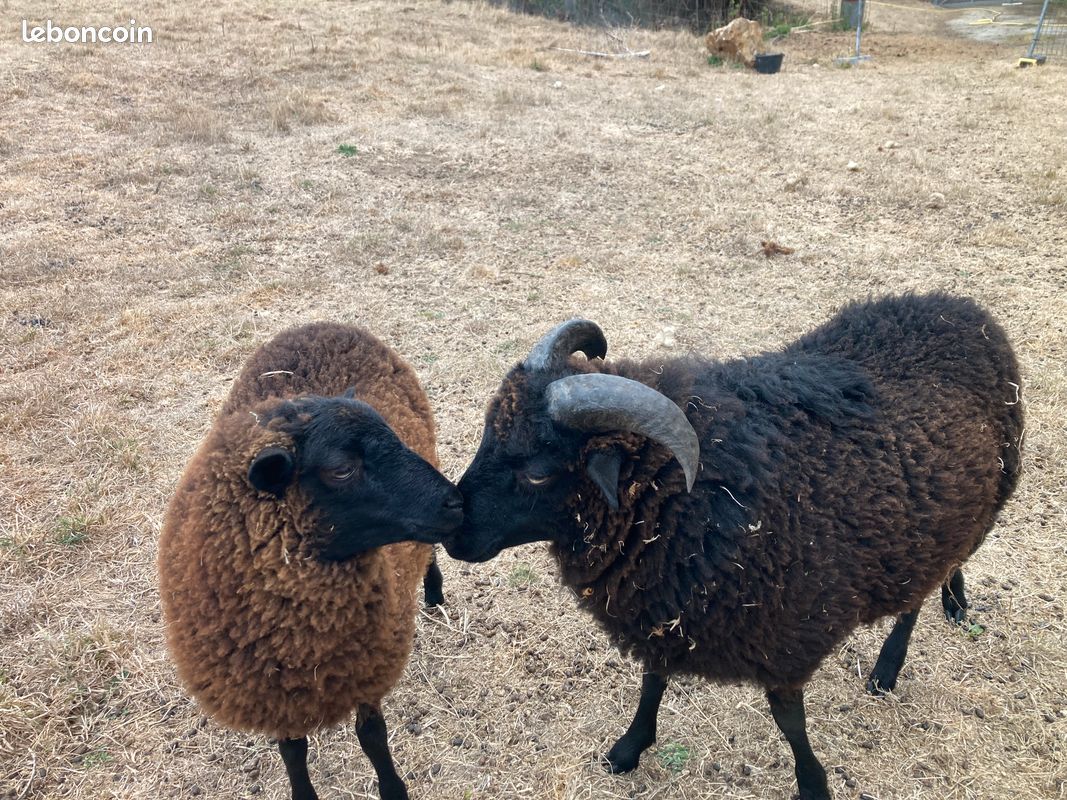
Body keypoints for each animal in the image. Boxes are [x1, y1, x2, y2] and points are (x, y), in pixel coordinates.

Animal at [158, 321, 463, 800]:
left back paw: (433, 592)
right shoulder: (275, 693)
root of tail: (326, 324)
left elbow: (372, 736)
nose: (457, 502)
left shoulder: (366, 667)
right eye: (341, 469)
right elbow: (292, 752)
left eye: (394, 436)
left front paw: (393, 788)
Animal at [445, 293, 1024, 800]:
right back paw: (951, 603)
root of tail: (962, 306)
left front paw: (813, 784)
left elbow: (788, 720)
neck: (690, 493)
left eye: (539, 472)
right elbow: (653, 679)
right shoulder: (666, 606)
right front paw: (629, 748)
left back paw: (892, 664)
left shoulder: (786, 632)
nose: (454, 530)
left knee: (921, 592)